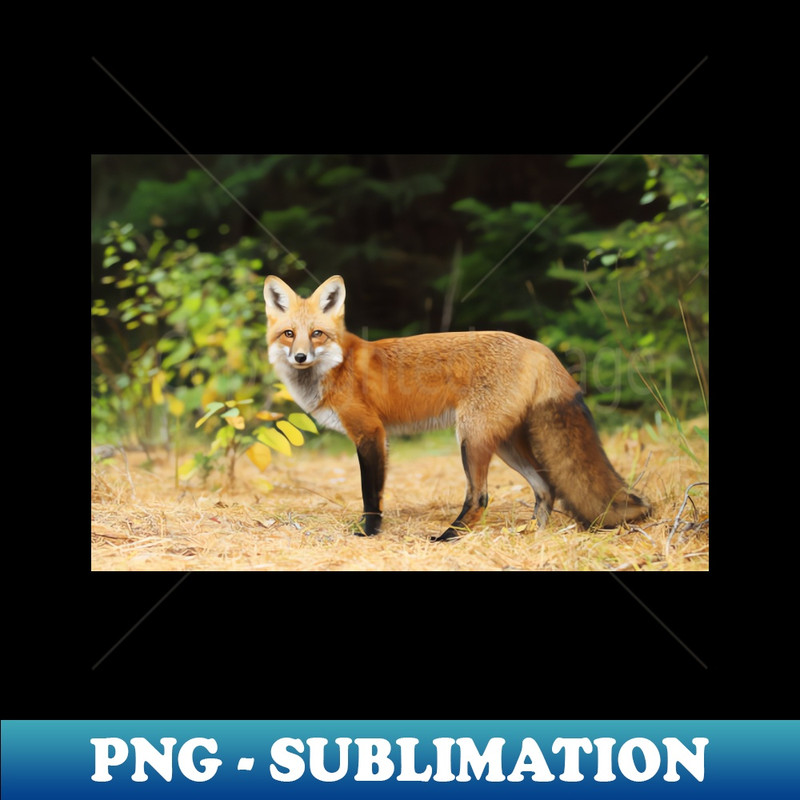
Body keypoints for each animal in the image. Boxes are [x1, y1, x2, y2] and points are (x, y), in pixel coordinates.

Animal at [264, 274, 650, 541]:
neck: (336, 366)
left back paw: (448, 536)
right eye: (288, 334)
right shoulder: (380, 437)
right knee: (546, 488)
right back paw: (531, 535)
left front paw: (368, 532)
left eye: (316, 334)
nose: (300, 357)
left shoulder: (370, 432)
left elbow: (370, 494)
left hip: (471, 438)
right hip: (504, 443)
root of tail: (537, 345)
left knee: (480, 496)